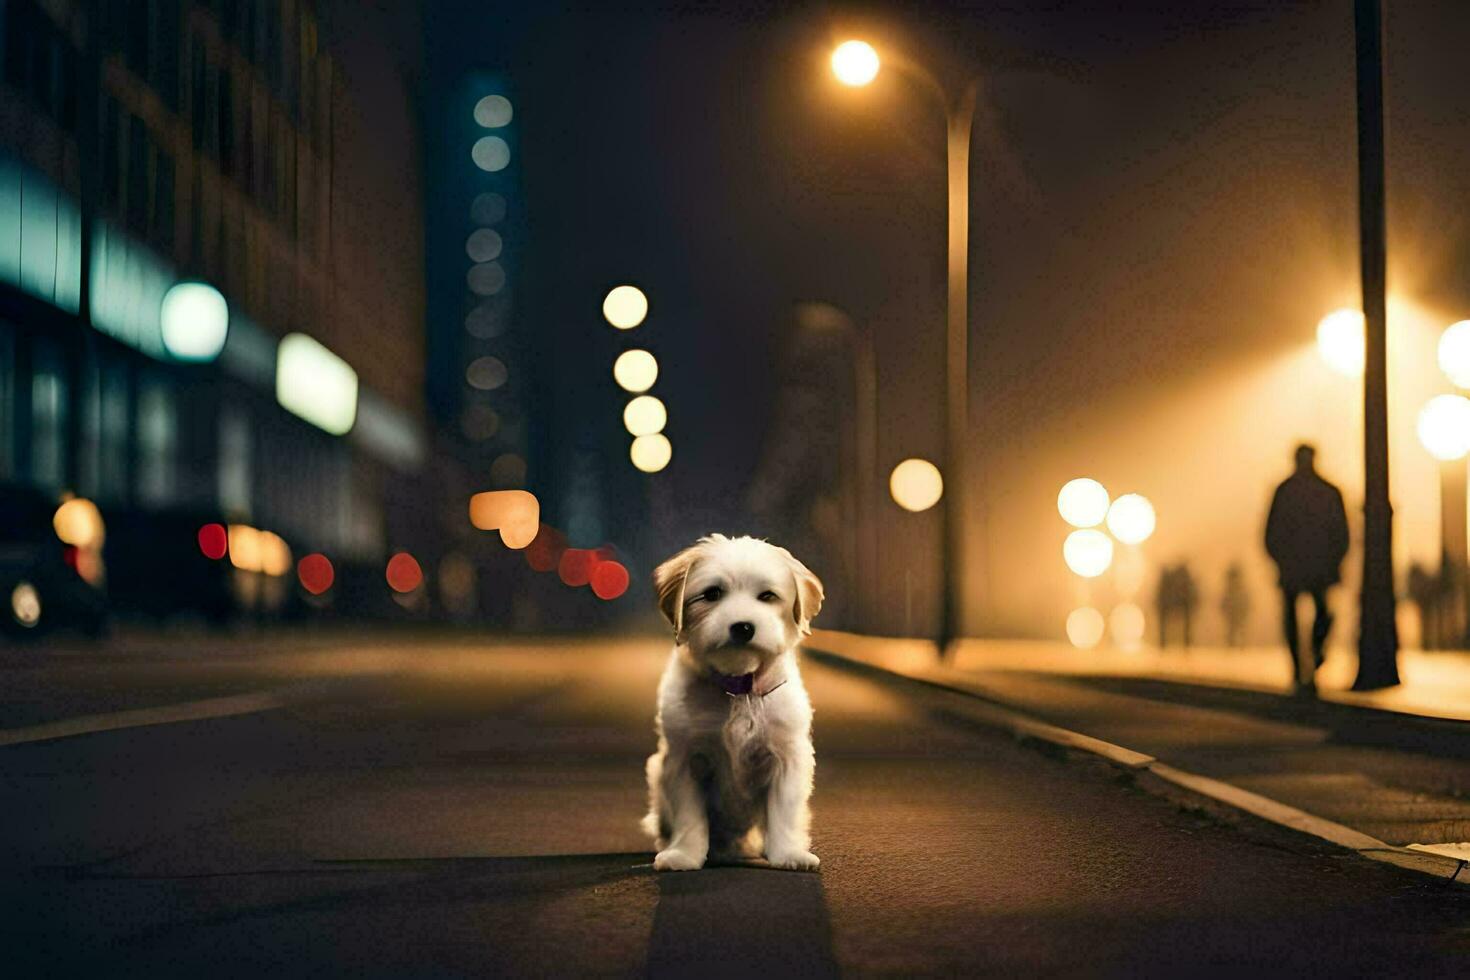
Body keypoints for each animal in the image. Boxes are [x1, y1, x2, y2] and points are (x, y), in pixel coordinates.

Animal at [643, 537, 829, 875]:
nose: (743, 627)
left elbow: (783, 811)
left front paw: (787, 853)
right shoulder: (684, 760)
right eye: (712, 594)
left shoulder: (788, 757)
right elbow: (690, 817)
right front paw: (685, 854)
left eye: (767, 596)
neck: (739, 690)